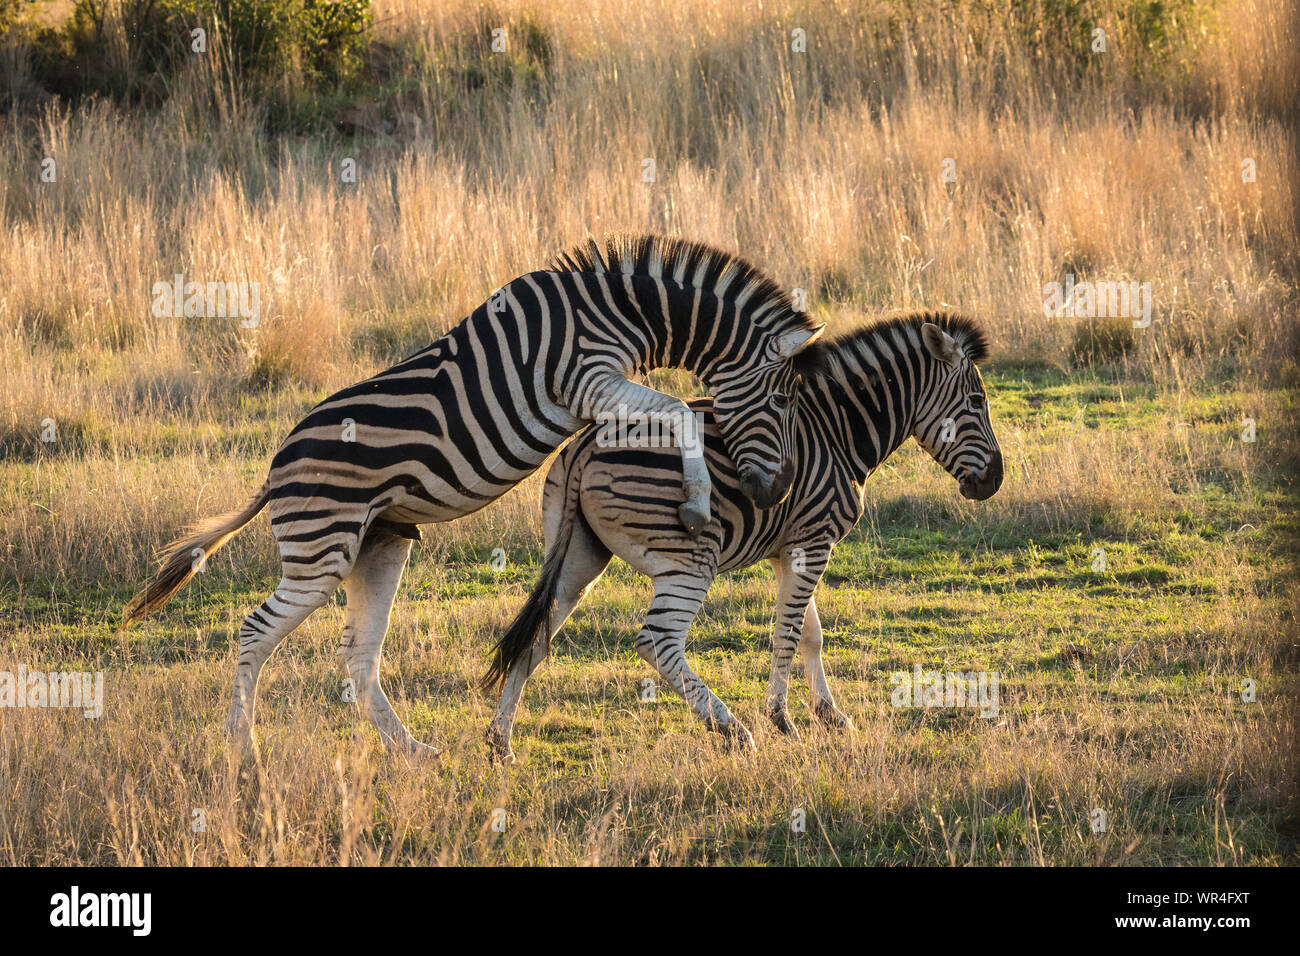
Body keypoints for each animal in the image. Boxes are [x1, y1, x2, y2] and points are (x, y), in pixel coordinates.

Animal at [126, 238, 826, 754]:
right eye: (783, 398)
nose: (777, 490)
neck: (619, 309)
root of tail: (275, 465)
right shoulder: (590, 381)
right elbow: (681, 410)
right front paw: (697, 503)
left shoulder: (600, 392)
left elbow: (670, 416)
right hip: (319, 551)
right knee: (253, 633)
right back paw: (240, 750)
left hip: (378, 545)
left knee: (357, 657)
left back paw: (413, 753)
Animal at [488, 310, 1003, 759]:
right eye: (978, 403)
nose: (995, 482)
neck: (836, 433)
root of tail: (586, 445)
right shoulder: (814, 541)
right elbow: (788, 634)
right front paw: (782, 719)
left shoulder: (790, 548)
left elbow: (811, 634)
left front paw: (831, 715)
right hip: (691, 560)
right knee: (657, 641)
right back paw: (731, 729)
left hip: (579, 555)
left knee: (537, 638)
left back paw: (500, 745)